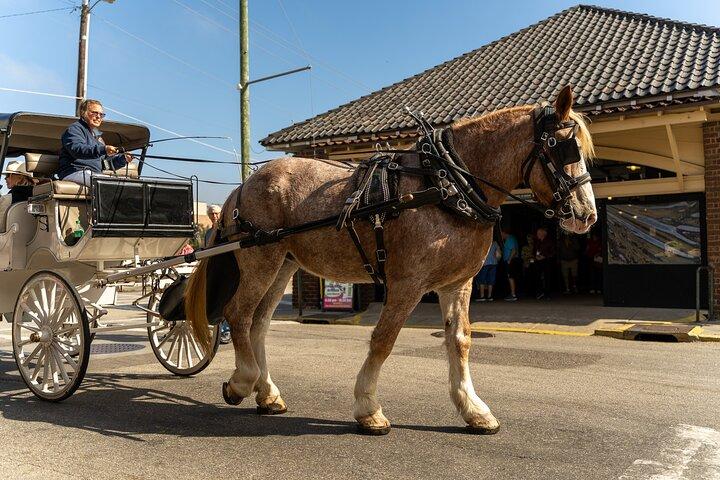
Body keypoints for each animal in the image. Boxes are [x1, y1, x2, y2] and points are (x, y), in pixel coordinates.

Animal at [185, 85, 597, 435]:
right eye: (564, 148)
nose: (586, 215)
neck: (447, 186)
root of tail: (245, 184)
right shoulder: (407, 283)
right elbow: (384, 339)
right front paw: (368, 408)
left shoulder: (457, 284)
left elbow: (459, 341)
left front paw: (473, 409)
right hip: (260, 258)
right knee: (239, 315)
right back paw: (242, 381)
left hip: (284, 264)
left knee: (258, 325)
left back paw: (267, 392)